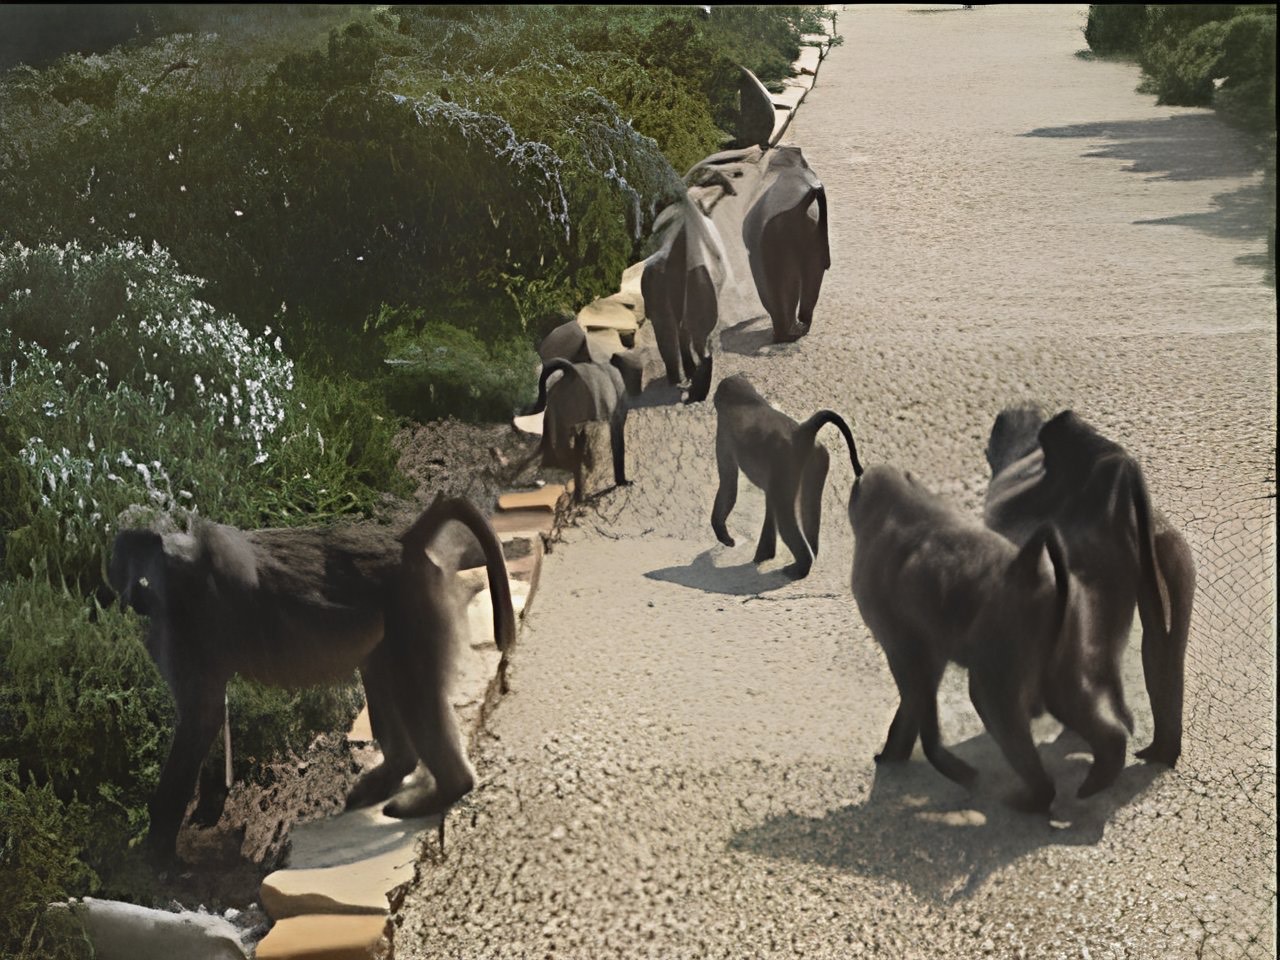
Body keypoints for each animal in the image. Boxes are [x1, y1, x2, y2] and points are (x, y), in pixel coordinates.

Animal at [107, 493, 515, 861]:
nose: (128, 598)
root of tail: (406, 542)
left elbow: (200, 719)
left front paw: (157, 849)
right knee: (382, 674)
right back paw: (392, 775)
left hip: (413, 609)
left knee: (414, 692)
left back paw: (443, 790)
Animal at [710, 373, 863, 579]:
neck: (746, 400)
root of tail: (802, 432)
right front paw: (764, 554)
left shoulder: (724, 434)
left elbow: (728, 484)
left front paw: (724, 536)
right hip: (817, 459)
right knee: (808, 506)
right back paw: (810, 553)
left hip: (787, 463)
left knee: (784, 515)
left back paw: (801, 566)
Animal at [848, 465, 1129, 811]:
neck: (900, 506)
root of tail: (1026, 569)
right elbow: (919, 696)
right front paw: (898, 753)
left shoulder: (901, 643)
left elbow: (917, 694)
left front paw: (945, 766)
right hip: (1062, 640)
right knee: (1073, 703)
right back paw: (1099, 775)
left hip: (1001, 652)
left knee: (994, 706)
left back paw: (1031, 799)